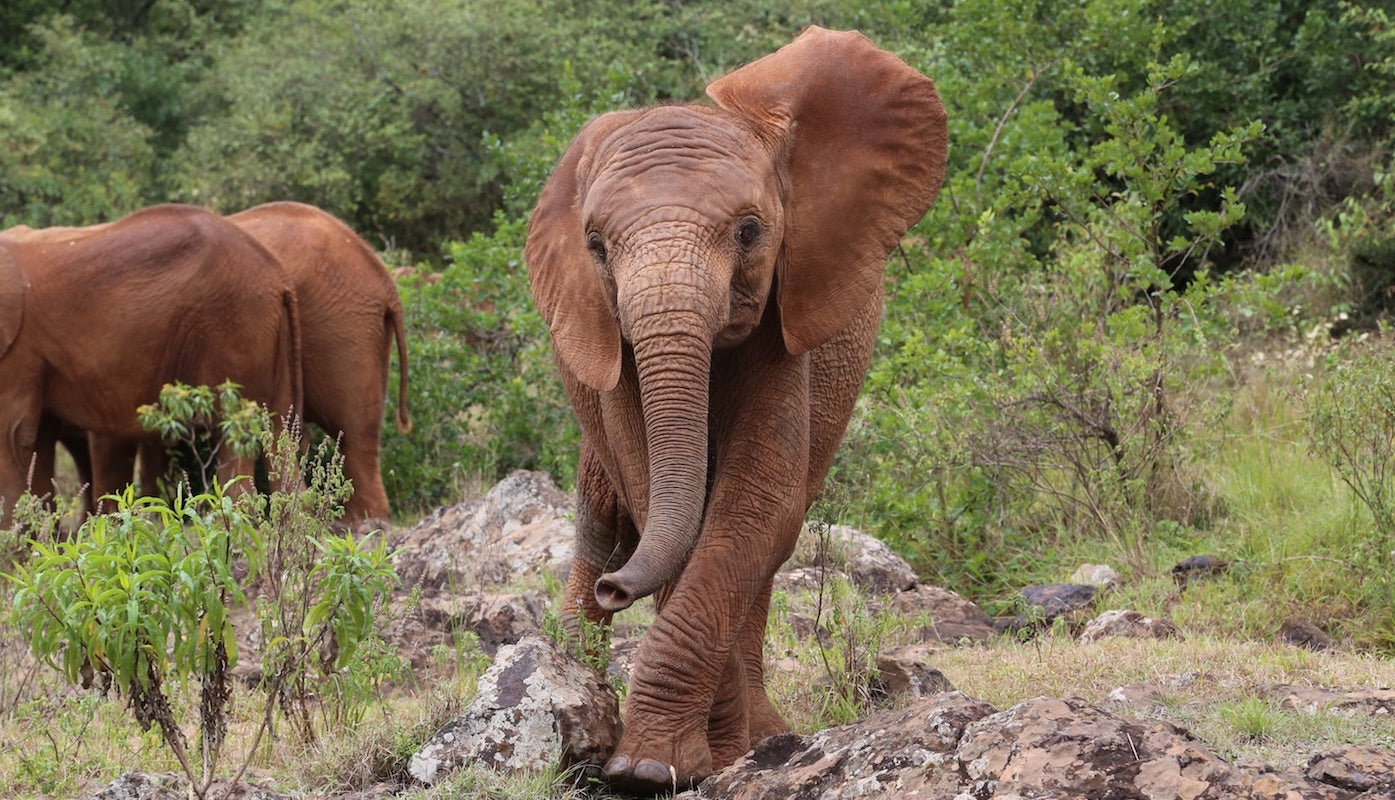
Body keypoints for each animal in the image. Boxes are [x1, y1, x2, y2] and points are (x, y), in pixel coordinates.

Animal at [0, 202, 302, 527]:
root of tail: (279, 278)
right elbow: (35, 443)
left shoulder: (15, 352)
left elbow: (13, 436)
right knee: (281, 437)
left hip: (236, 329)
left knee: (236, 439)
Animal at [524, 24, 948, 793]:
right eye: (595, 246)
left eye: (750, 232)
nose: (614, 589)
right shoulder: (611, 346)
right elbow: (658, 500)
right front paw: (677, 761)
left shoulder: (785, 311)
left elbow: (754, 507)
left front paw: (665, 764)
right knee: (604, 513)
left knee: (775, 530)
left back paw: (764, 732)